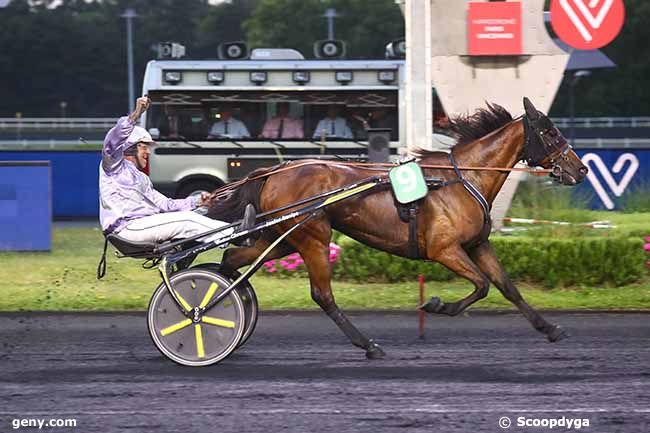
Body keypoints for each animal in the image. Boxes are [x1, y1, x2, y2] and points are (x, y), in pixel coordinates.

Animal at [206, 98, 588, 358]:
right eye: (550, 132)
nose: (581, 169)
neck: (461, 179)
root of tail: (274, 171)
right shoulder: (444, 249)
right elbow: (481, 286)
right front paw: (436, 305)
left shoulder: (478, 244)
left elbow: (507, 287)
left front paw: (550, 328)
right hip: (313, 237)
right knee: (322, 294)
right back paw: (368, 345)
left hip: (285, 237)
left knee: (232, 259)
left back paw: (215, 306)